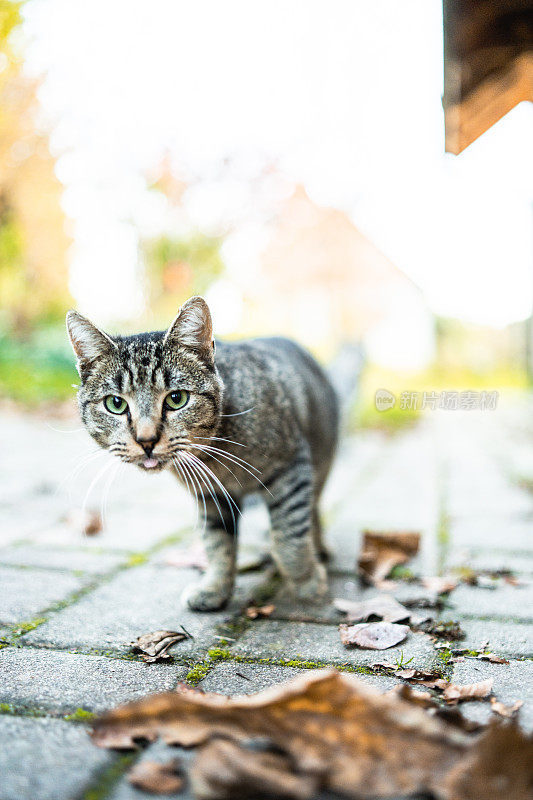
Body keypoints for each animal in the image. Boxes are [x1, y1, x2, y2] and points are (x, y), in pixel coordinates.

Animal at [66, 296, 338, 608]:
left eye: (176, 399)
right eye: (115, 404)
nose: (146, 439)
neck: (215, 454)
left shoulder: (290, 468)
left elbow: (289, 538)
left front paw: (308, 583)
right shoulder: (210, 496)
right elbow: (218, 544)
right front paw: (215, 588)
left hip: (319, 462)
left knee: (312, 507)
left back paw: (318, 548)